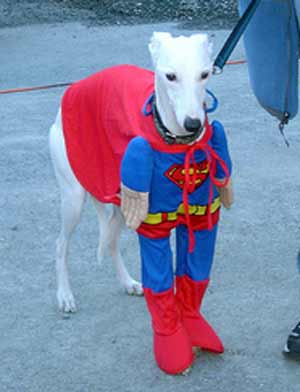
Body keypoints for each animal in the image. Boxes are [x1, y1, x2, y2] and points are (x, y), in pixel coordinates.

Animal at [49, 32, 233, 320]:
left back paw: (127, 282)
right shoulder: (154, 224)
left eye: (204, 74)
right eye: (170, 76)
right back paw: (65, 296)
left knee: (111, 241)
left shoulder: (196, 217)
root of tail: (76, 87)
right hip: (73, 199)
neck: (174, 140)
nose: (194, 124)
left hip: (123, 205)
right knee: (60, 245)